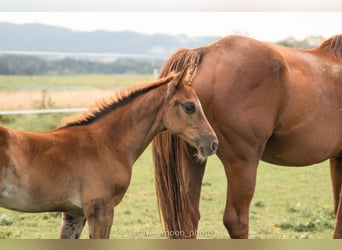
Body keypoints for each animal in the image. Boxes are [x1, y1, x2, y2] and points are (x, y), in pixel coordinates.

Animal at [154, 34, 342, 238]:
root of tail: (203, 52)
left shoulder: (337, 159)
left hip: (193, 157)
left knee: (189, 217)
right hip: (243, 163)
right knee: (236, 220)